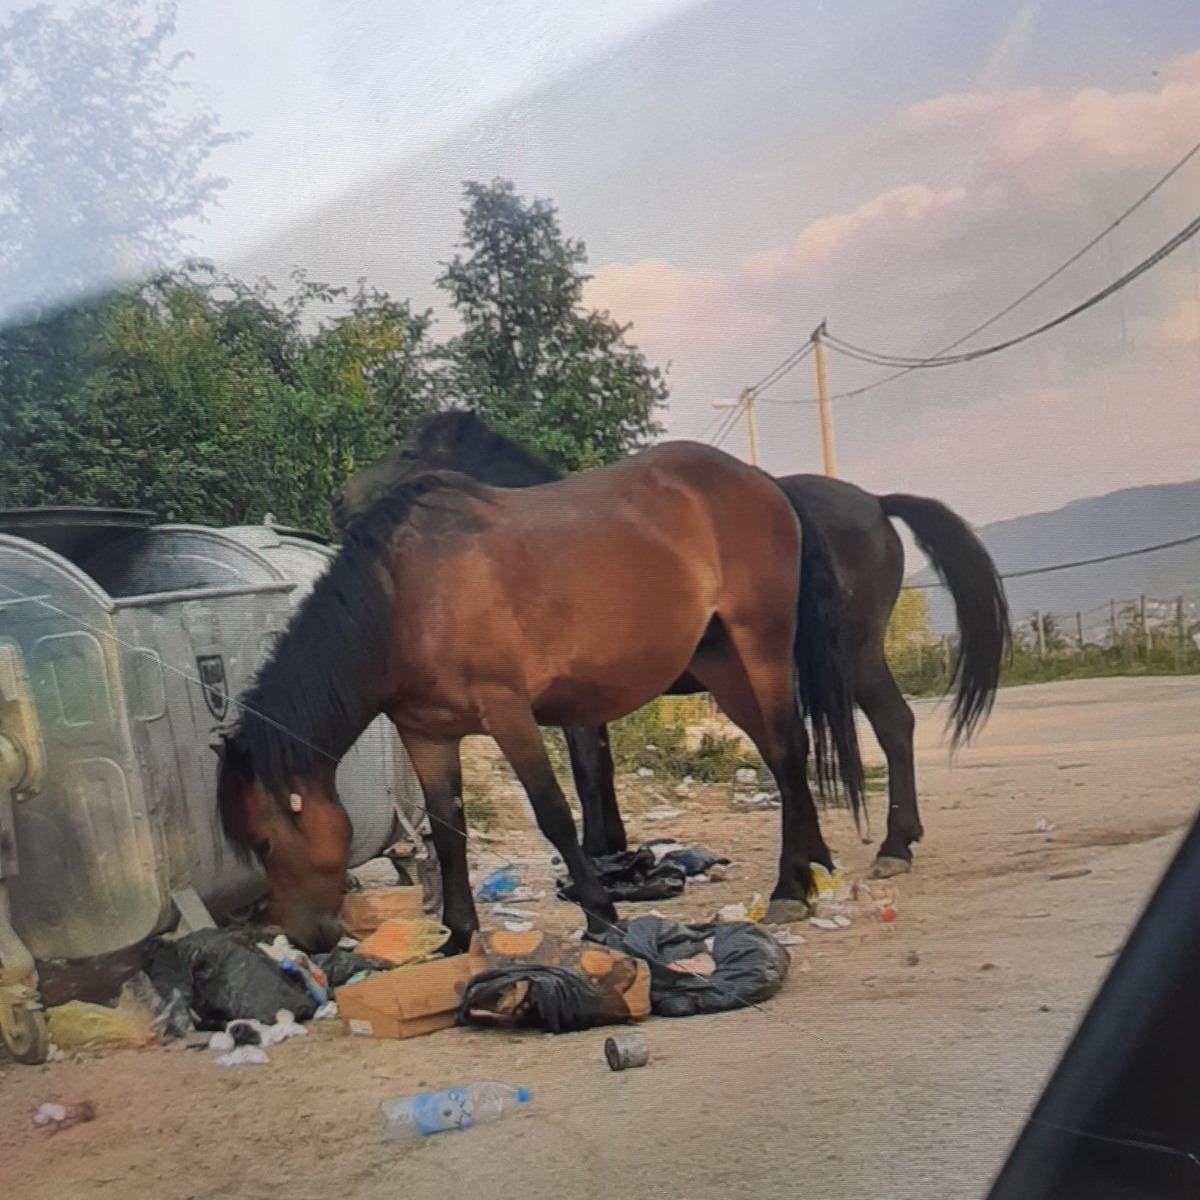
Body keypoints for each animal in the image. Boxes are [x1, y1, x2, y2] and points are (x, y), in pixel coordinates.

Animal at [218, 439, 864, 945]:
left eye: (266, 844)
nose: (307, 940)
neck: (406, 600)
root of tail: (763, 482)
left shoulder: (509, 713)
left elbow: (553, 813)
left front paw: (600, 914)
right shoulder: (427, 734)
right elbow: (448, 831)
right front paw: (459, 936)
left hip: (761, 645)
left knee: (787, 749)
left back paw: (789, 887)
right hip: (723, 664)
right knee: (781, 756)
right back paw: (813, 866)